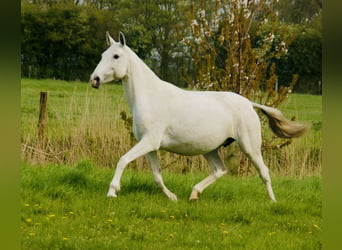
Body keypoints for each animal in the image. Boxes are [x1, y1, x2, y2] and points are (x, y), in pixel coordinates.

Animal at [89, 31, 308, 203]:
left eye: (116, 56)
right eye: (102, 55)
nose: (94, 79)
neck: (151, 97)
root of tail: (249, 104)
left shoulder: (149, 142)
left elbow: (123, 160)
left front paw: (112, 192)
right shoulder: (149, 145)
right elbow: (157, 175)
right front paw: (172, 197)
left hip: (250, 147)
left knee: (264, 171)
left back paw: (272, 202)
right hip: (210, 149)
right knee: (220, 170)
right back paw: (194, 194)